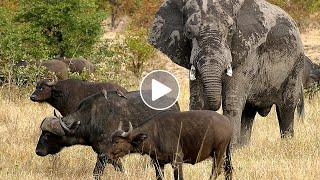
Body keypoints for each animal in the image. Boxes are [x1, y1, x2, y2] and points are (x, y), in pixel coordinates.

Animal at [35, 90, 180, 179]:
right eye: (42, 132)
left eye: (48, 135)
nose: (38, 151)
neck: (91, 118)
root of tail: (175, 105)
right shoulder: (106, 154)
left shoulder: (105, 154)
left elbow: (98, 172)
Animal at [150, 0, 304, 146]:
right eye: (188, 32)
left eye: (231, 30)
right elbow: (197, 101)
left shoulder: (248, 51)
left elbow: (231, 101)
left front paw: (229, 149)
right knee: (248, 112)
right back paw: (243, 147)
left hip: (296, 63)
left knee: (287, 106)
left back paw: (287, 143)